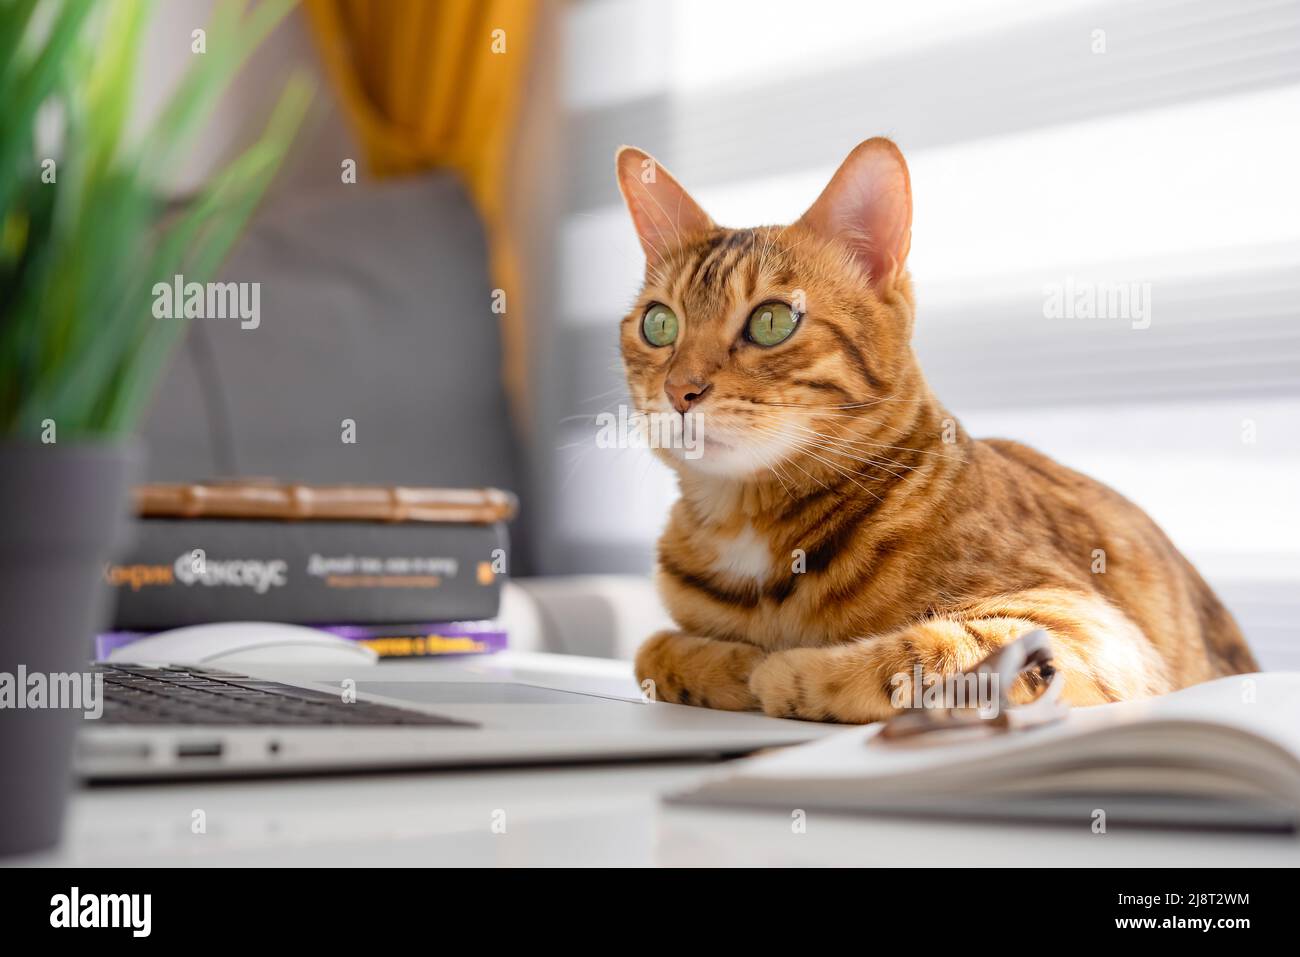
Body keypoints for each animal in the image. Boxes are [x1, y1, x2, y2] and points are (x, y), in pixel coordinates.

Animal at [618, 132, 1258, 717]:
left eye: (772, 321)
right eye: (658, 324)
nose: (679, 390)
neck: (749, 524)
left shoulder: (1088, 627)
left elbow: (929, 655)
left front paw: (783, 672)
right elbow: (652, 649)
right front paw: (731, 663)